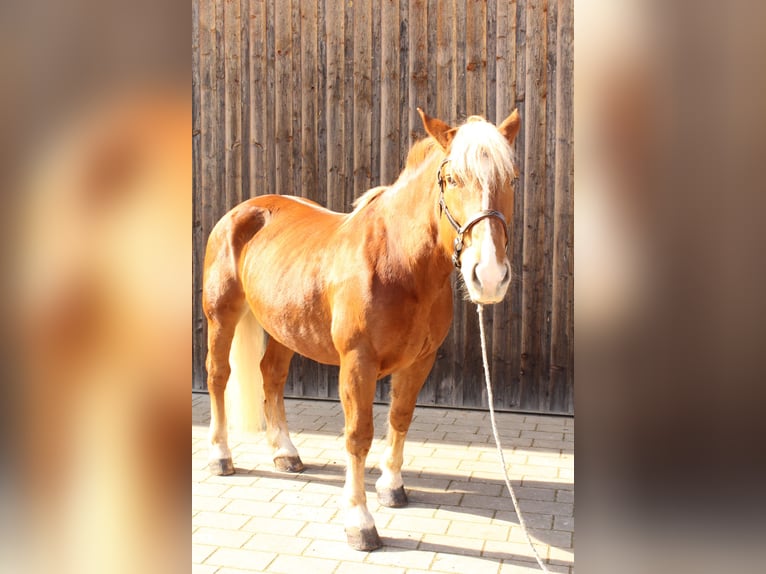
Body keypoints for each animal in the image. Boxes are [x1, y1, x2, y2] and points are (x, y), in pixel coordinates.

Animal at [202, 108, 520, 552]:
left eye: (512, 179)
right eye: (452, 179)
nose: (488, 277)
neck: (399, 263)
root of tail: (242, 210)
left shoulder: (420, 361)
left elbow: (400, 419)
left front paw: (391, 487)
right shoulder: (357, 363)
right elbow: (358, 435)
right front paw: (360, 522)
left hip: (284, 327)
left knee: (272, 376)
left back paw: (285, 453)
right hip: (221, 316)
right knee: (218, 376)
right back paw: (220, 456)